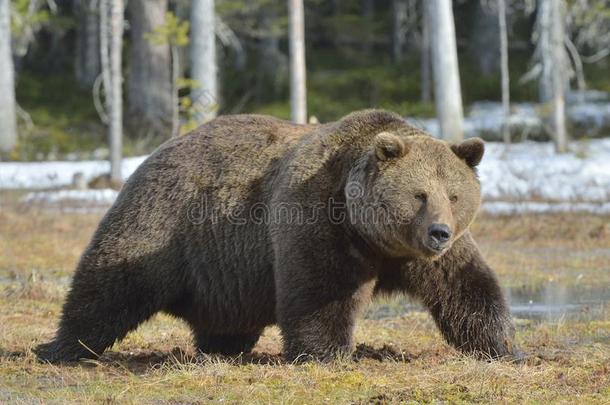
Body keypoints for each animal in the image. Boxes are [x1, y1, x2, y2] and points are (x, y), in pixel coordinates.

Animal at [35, 109, 516, 362]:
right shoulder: (316, 218)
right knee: (109, 286)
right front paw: (328, 354)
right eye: (419, 194)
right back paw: (60, 346)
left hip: (226, 273)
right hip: (164, 221)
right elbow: (320, 293)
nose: (438, 232)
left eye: (454, 195)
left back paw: (223, 350)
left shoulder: (422, 255)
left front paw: (503, 348)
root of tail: (159, 150)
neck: (374, 238)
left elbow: (468, 288)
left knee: (225, 320)